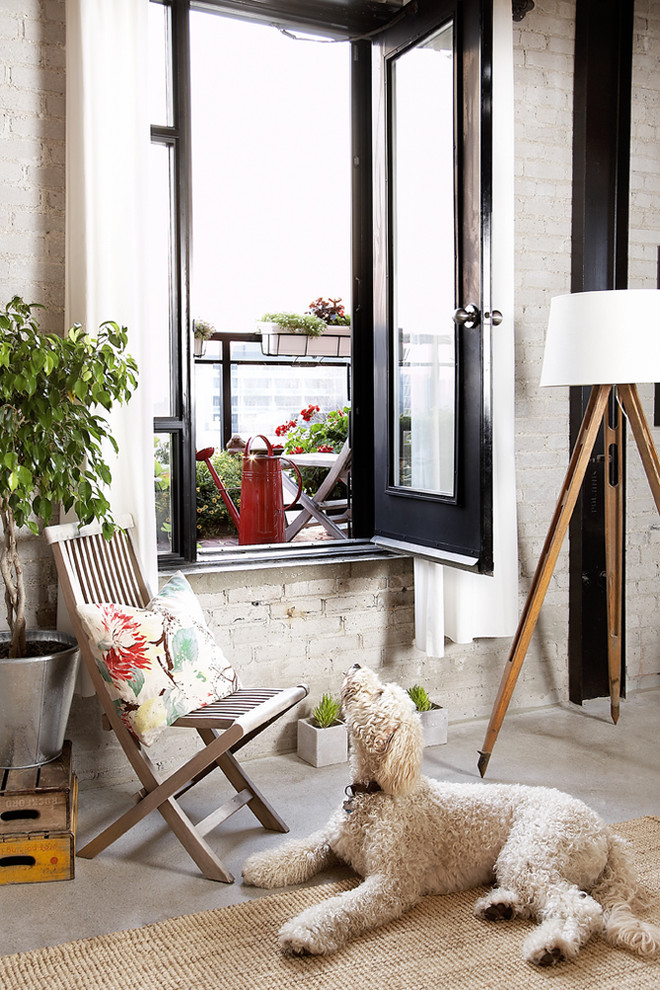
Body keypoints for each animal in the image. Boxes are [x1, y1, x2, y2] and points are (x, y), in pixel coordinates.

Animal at [244, 668, 660, 968]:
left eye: (380, 695)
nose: (357, 666)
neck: (377, 793)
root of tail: (605, 830)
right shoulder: (331, 840)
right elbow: (299, 850)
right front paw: (260, 867)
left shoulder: (391, 883)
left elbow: (341, 907)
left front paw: (303, 934)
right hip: (521, 863)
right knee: (538, 899)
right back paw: (501, 907)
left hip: (532, 852)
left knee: (581, 908)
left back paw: (551, 947)